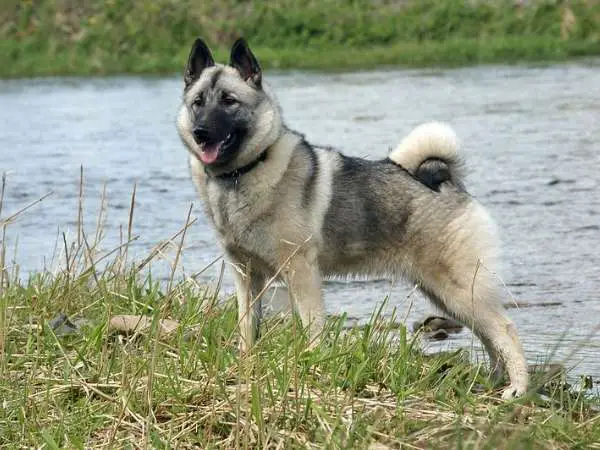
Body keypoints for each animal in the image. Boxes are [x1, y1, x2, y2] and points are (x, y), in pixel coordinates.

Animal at [175, 37, 528, 398]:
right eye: (197, 103)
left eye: (229, 101)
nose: (201, 132)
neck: (242, 174)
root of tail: (446, 181)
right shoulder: (246, 276)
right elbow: (247, 327)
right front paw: (246, 365)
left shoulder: (301, 272)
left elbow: (312, 327)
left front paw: (311, 365)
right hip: (444, 294)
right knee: (488, 335)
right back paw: (493, 381)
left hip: (457, 288)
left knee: (505, 329)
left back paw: (517, 388)